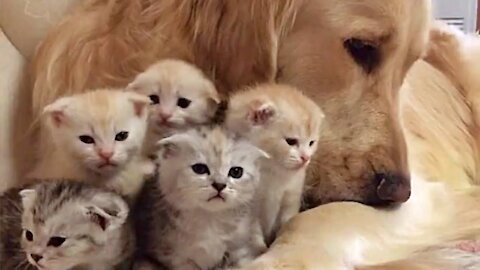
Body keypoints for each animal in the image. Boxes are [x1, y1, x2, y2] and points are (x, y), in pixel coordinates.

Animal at [134, 126, 270, 270]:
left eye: (236, 172)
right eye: (199, 169)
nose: (220, 185)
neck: (210, 220)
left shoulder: (241, 248)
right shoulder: (173, 257)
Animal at [226, 84, 326, 245]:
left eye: (311, 142)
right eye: (291, 141)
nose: (306, 158)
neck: (272, 171)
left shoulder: (290, 199)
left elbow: (287, 224)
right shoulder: (249, 211)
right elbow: (255, 238)